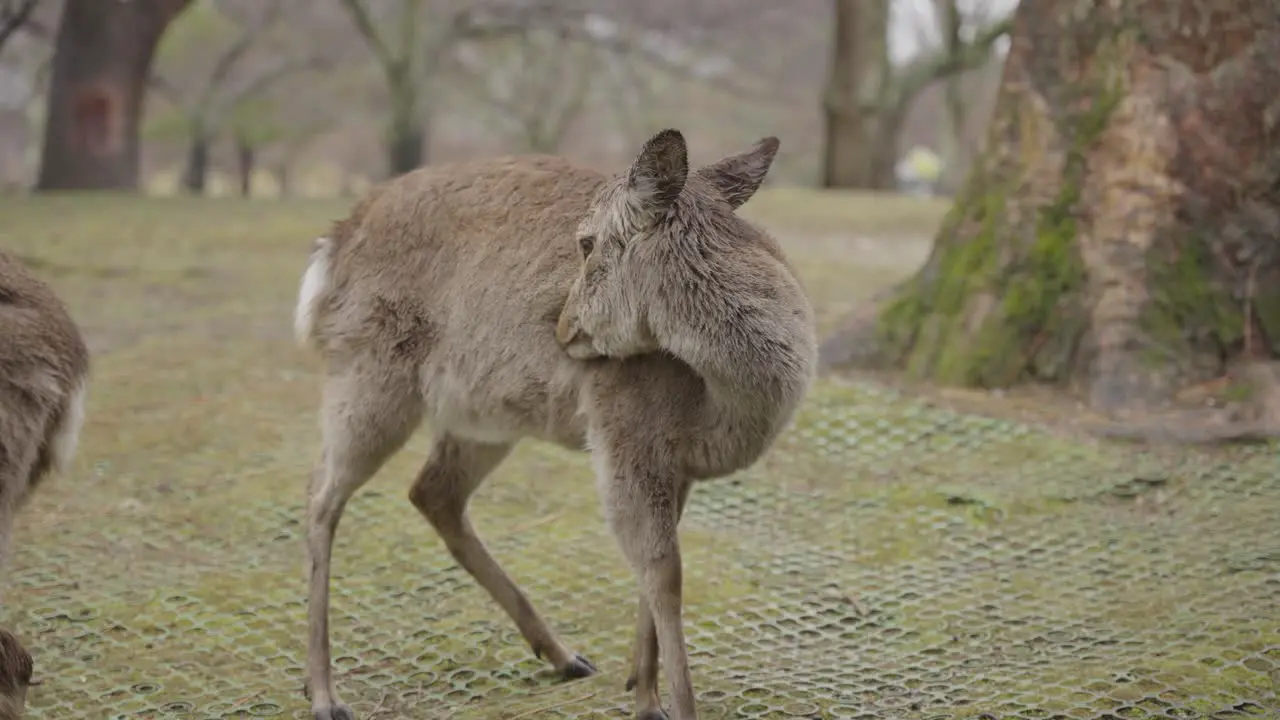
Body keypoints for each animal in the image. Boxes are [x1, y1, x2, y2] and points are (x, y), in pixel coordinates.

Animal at [296, 128, 819, 717]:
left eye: (586, 243)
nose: (562, 328)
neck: (717, 408)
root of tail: (331, 245)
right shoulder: (623, 434)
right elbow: (665, 575)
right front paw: (665, 704)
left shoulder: (676, 465)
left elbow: (653, 574)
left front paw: (640, 686)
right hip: (368, 377)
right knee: (322, 494)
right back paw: (324, 693)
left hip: (482, 418)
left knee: (432, 492)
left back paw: (566, 657)